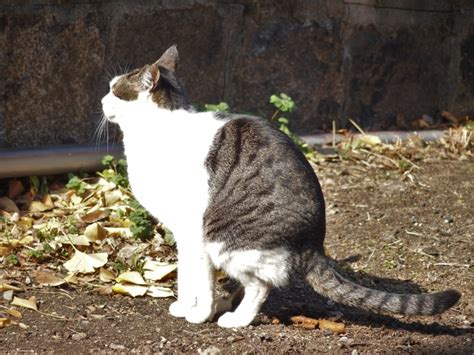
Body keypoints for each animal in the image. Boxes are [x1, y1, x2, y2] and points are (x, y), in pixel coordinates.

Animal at [102, 46, 462, 330]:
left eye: (115, 90)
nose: (102, 99)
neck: (157, 131)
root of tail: (315, 243)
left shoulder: (193, 231)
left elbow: (198, 280)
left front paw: (198, 313)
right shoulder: (183, 235)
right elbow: (185, 275)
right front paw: (184, 306)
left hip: (225, 238)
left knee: (259, 287)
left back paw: (233, 319)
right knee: (249, 284)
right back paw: (224, 306)